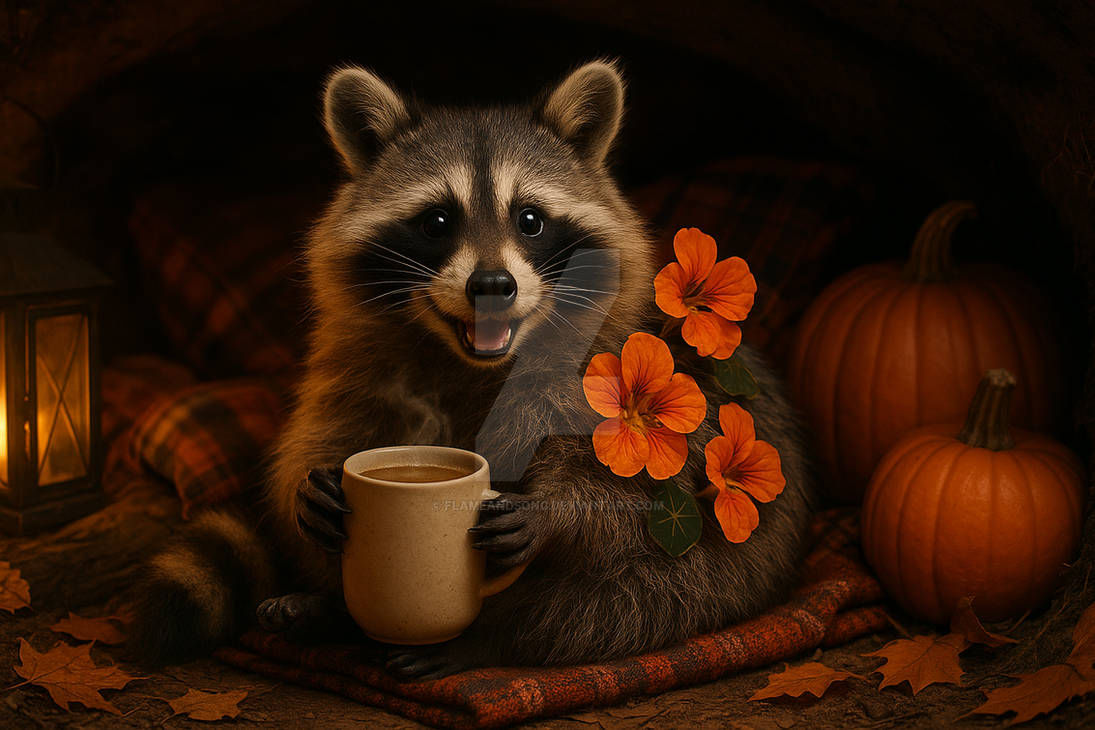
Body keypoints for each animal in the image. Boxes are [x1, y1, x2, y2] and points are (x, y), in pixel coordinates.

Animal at [130, 61, 813, 677]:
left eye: (530, 219)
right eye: (437, 221)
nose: (491, 285)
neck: (473, 363)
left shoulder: (615, 375)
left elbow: (631, 496)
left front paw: (556, 513)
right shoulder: (360, 366)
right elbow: (326, 436)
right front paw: (311, 490)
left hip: (736, 558)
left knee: (637, 597)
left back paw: (491, 638)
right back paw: (332, 610)